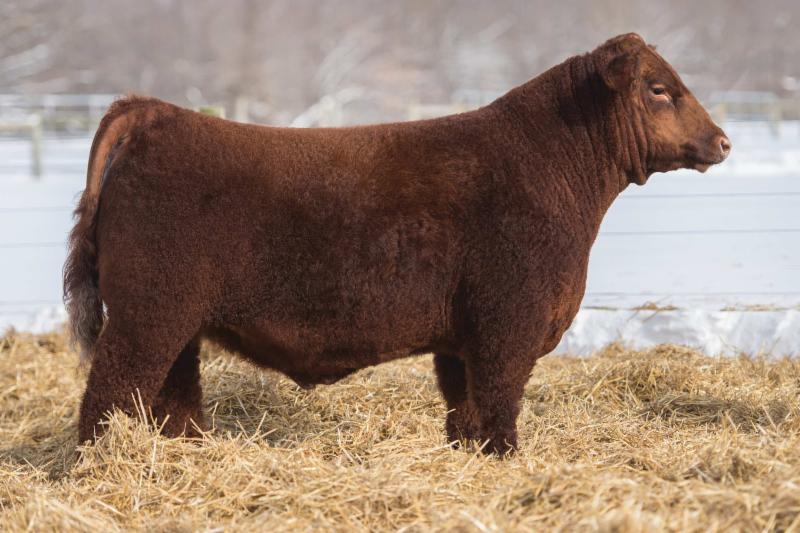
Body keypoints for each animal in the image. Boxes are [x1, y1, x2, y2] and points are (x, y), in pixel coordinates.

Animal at [64, 33, 730, 454]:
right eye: (658, 88)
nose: (723, 140)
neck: (551, 171)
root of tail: (157, 114)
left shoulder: (462, 341)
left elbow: (466, 416)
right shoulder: (506, 327)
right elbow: (499, 412)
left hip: (176, 325)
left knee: (171, 401)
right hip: (146, 317)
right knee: (106, 396)